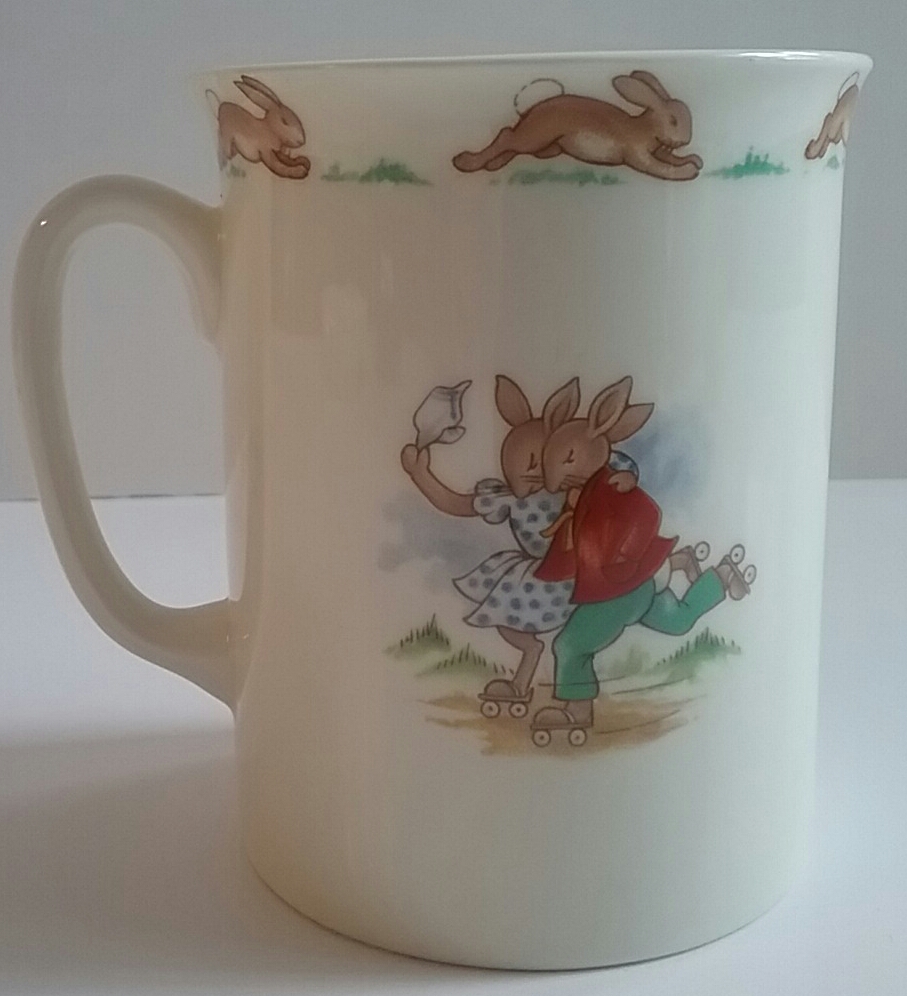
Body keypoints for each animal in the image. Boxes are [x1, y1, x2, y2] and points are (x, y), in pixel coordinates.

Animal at [452, 70, 703, 181]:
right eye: (673, 121)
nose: (686, 140)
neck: (645, 129)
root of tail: (530, 111)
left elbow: (671, 159)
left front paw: (694, 160)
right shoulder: (638, 156)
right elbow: (660, 168)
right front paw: (688, 171)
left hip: (541, 143)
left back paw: (493, 166)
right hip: (536, 136)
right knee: (506, 136)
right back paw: (466, 162)